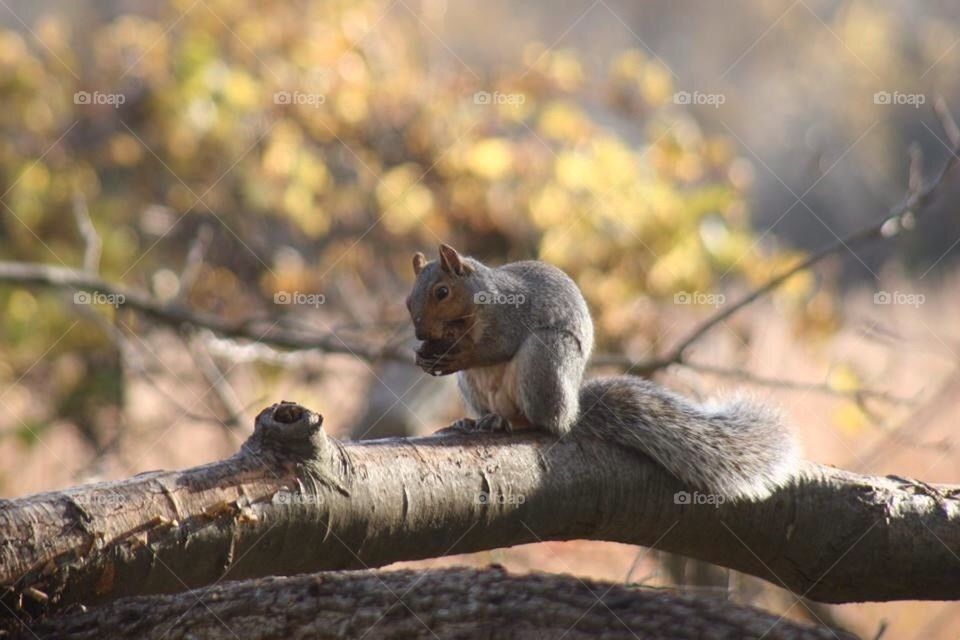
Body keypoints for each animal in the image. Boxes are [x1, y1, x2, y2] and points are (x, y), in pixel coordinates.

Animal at [406, 243, 800, 501]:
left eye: (442, 292)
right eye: (409, 301)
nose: (421, 334)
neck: (472, 308)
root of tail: (573, 411)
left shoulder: (509, 318)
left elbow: (494, 348)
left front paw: (453, 356)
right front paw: (425, 356)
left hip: (545, 357)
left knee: (546, 422)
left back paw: (517, 424)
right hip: (476, 388)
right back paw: (476, 421)